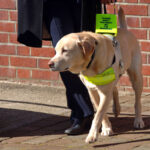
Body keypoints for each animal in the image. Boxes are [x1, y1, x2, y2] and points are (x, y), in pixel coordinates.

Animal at [48, 7, 144, 143]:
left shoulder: (104, 92)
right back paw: (116, 109)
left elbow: (98, 114)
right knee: (115, 89)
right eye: (56, 51)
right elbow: (101, 111)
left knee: (137, 101)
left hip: (136, 76)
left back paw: (138, 120)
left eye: (65, 50)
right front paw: (106, 128)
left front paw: (92, 135)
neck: (91, 62)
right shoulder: (92, 90)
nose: (50, 64)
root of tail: (124, 29)